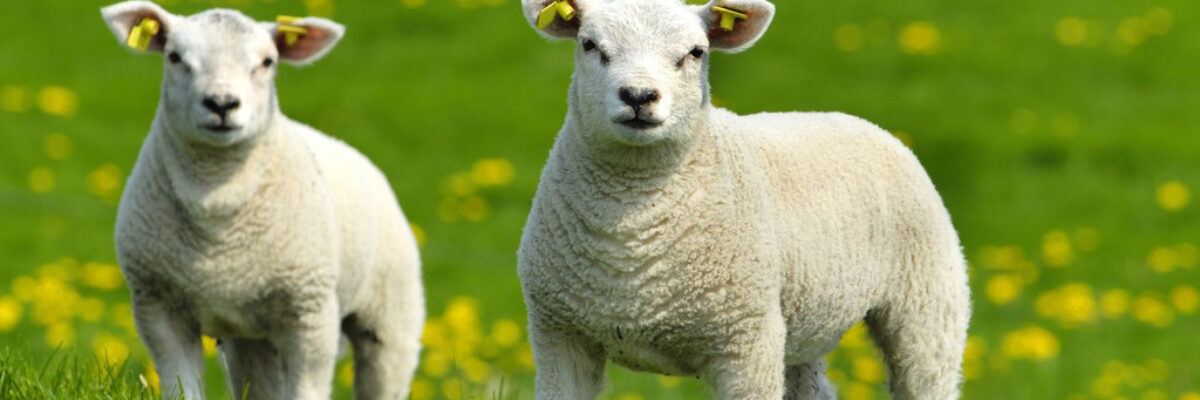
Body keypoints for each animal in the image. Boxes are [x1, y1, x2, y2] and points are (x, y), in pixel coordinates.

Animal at [101, 2, 423, 399]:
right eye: (174, 57)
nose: (221, 103)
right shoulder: (158, 306)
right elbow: (181, 387)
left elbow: (307, 391)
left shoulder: (310, 313)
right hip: (249, 335)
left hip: (391, 315)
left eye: (268, 61)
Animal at [515, 0, 971, 399]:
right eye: (589, 45)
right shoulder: (559, 334)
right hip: (802, 327)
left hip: (929, 303)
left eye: (696, 52)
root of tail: (847, 117)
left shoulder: (748, 341)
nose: (639, 96)